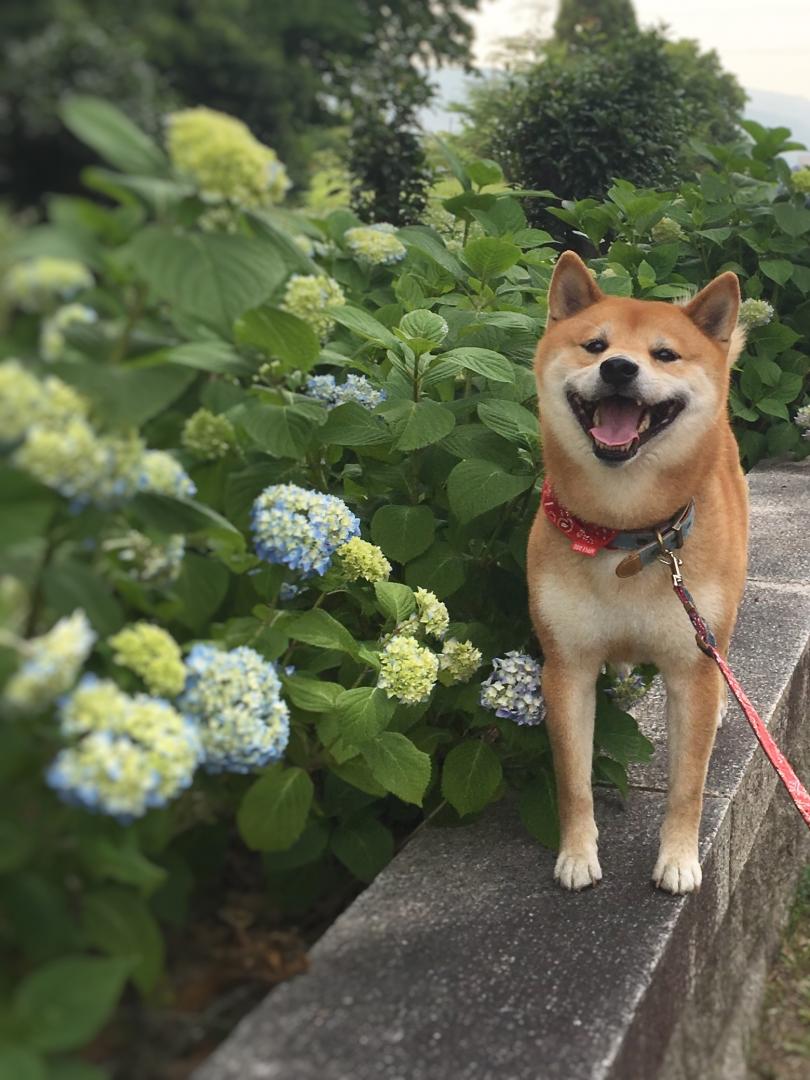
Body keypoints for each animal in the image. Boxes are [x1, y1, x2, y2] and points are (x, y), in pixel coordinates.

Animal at [527, 250, 747, 894]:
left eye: (664, 354)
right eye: (594, 345)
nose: (620, 368)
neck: (626, 534)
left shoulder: (689, 668)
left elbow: (688, 785)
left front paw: (678, 858)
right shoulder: (566, 667)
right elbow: (573, 779)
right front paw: (577, 854)